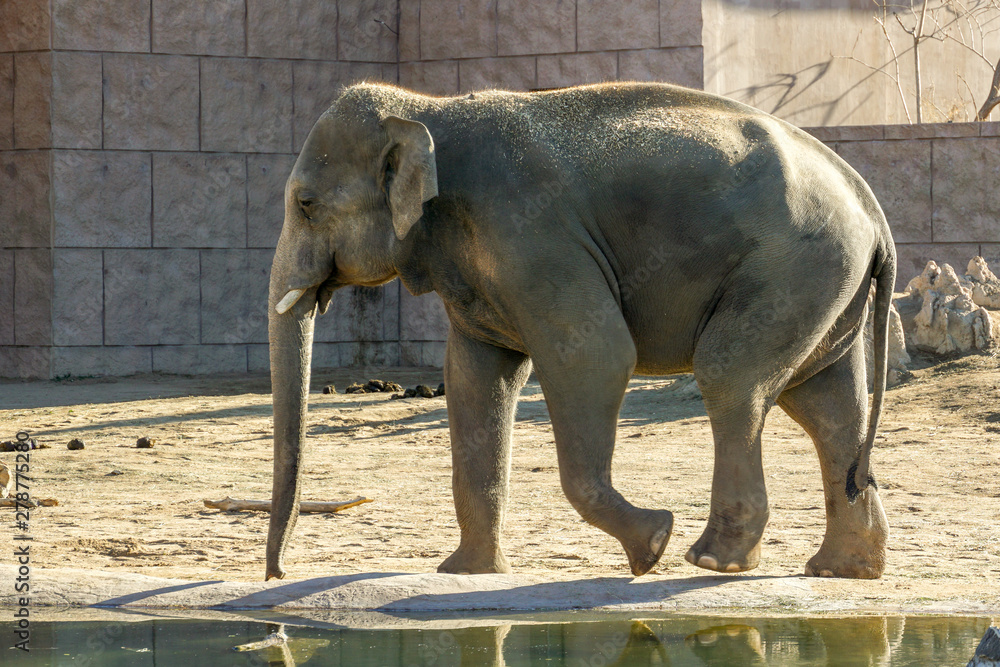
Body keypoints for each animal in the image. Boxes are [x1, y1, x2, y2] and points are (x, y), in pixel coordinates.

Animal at [265, 81, 894, 582]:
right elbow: (474, 380)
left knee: (731, 376)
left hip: (791, 267)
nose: (278, 574)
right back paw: (843, 570)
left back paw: (712, 560)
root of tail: (871, 207)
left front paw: (652, 544)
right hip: (825, 284)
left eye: (306, 203)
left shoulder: (533, 236)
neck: (428, 109)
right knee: (827, 404)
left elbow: (595, 354)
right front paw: (465, 573)